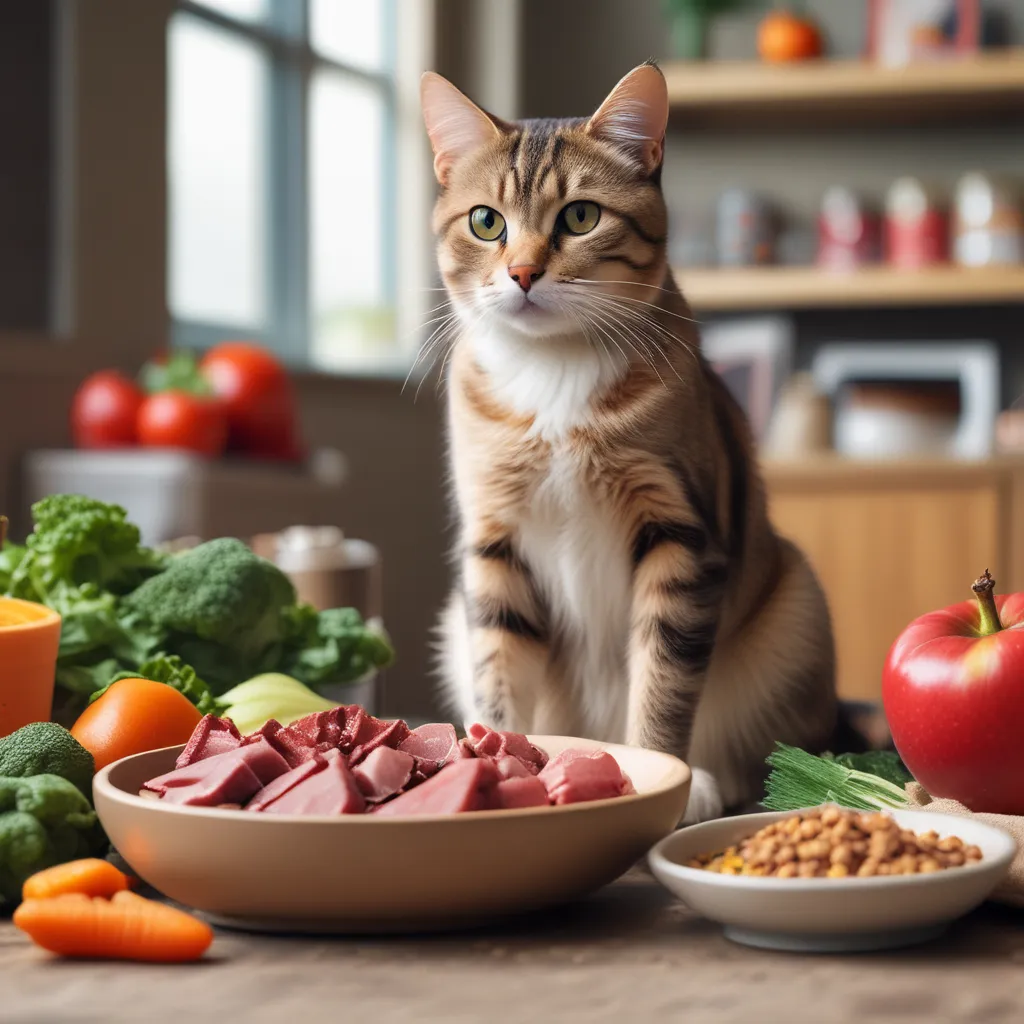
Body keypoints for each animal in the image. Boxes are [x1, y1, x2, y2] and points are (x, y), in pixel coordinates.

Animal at [419, 61, 835, 823]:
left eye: (580, 216)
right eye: (486, 222)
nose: (522, 273)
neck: (553, 374)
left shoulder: (680, 533)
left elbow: (664, 679)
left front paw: (660, 775)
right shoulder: (494, 547)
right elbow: (499, 674)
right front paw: (496, 763)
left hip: (796, 604)